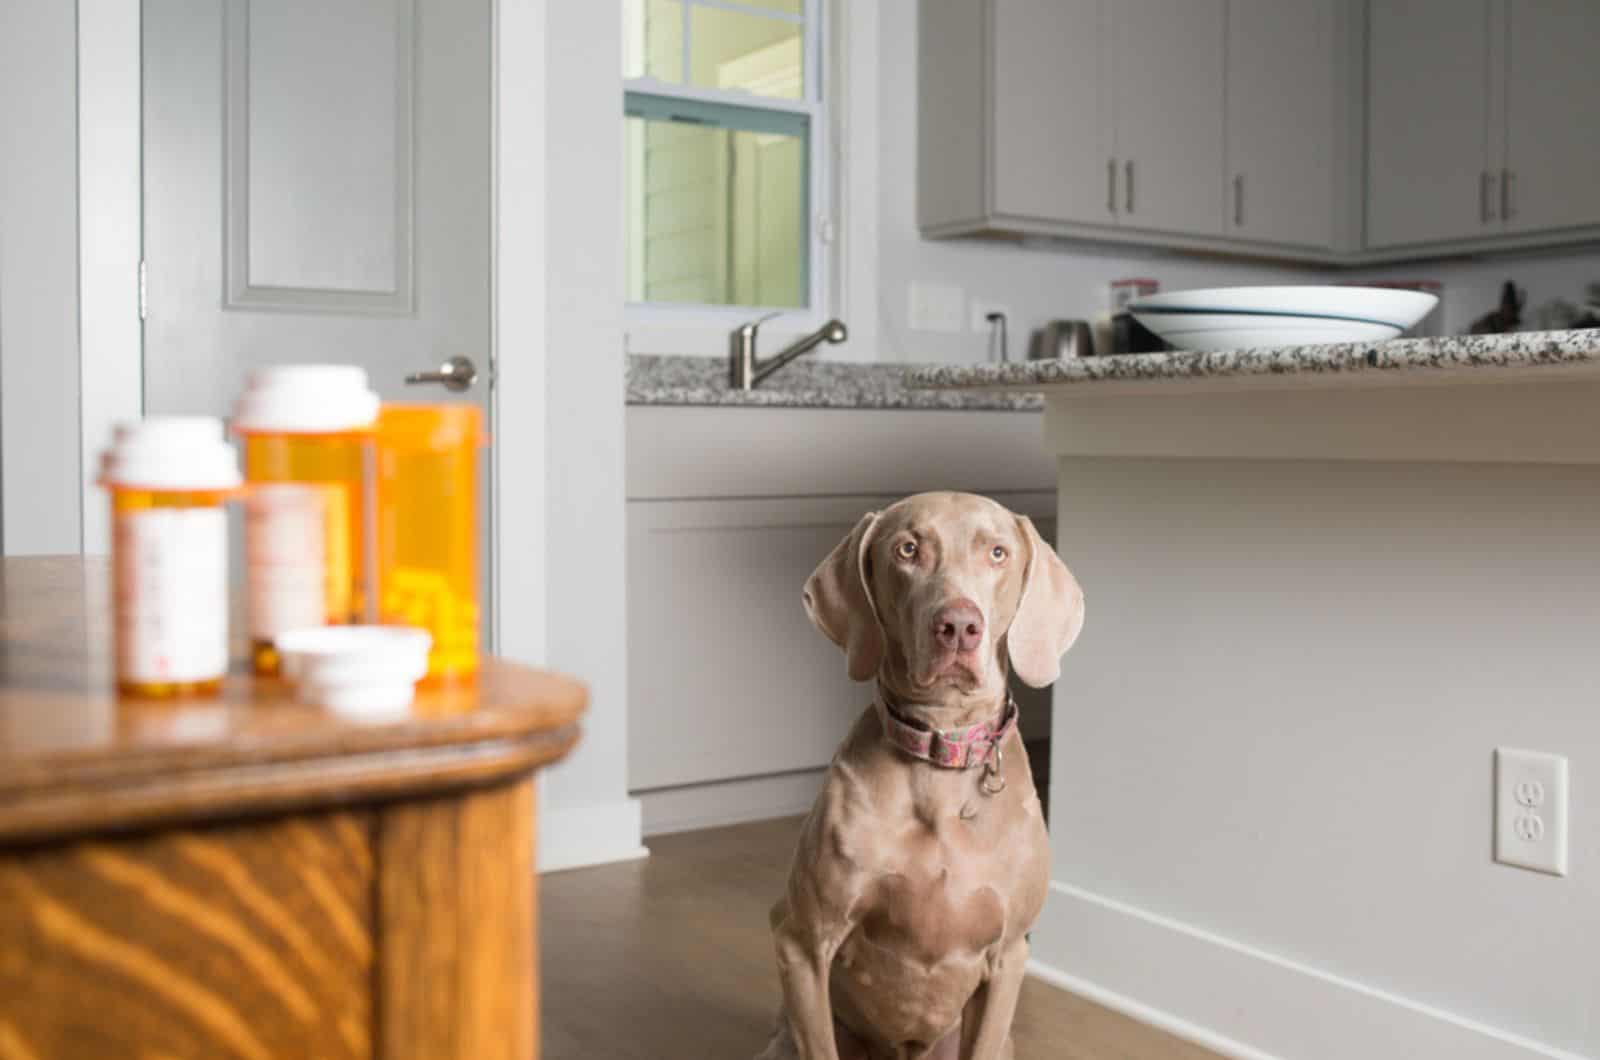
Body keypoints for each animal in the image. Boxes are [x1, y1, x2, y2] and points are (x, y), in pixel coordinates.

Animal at [752, 493, 1081, 1056]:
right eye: (907, 549)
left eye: (997, 552)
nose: (959, 625)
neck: (941, 761)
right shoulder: (801, 941)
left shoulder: (1009, 956)